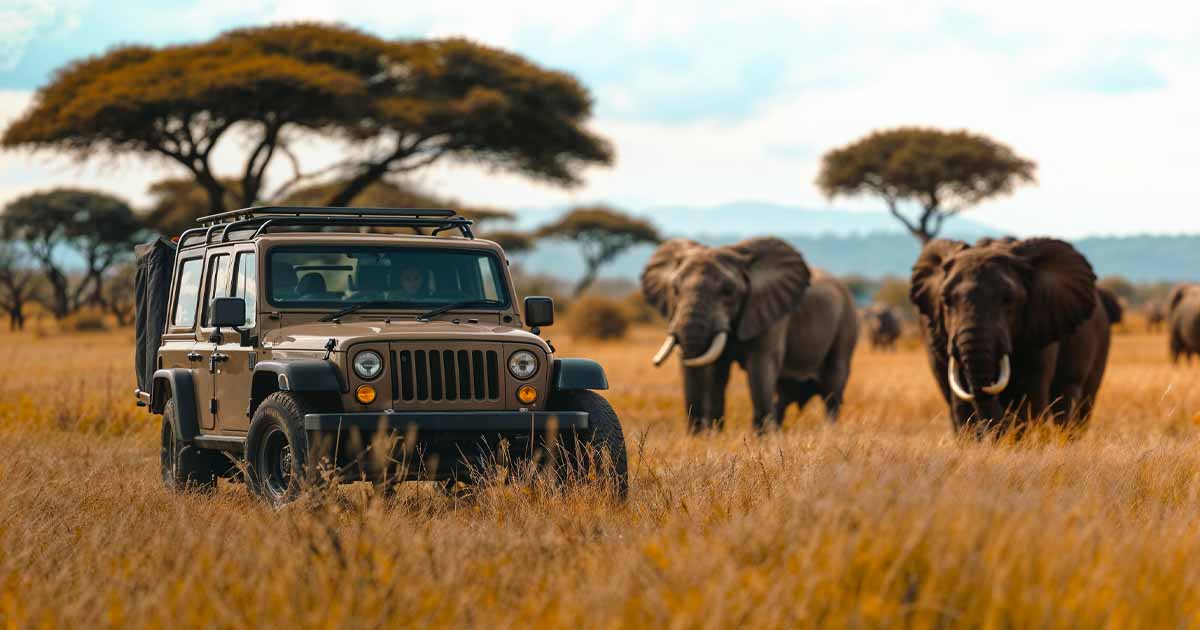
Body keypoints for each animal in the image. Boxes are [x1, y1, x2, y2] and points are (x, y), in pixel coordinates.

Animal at [641, 237, 859, 432]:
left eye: (728, 290)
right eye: (674, 289)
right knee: (784, 394)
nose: (696, 431)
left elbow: (760, 367)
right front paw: (716, 434)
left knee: (833, 389)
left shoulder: (771, 313)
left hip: (846, 324)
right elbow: (717, 372)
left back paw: (828, 432)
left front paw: (761, 438)